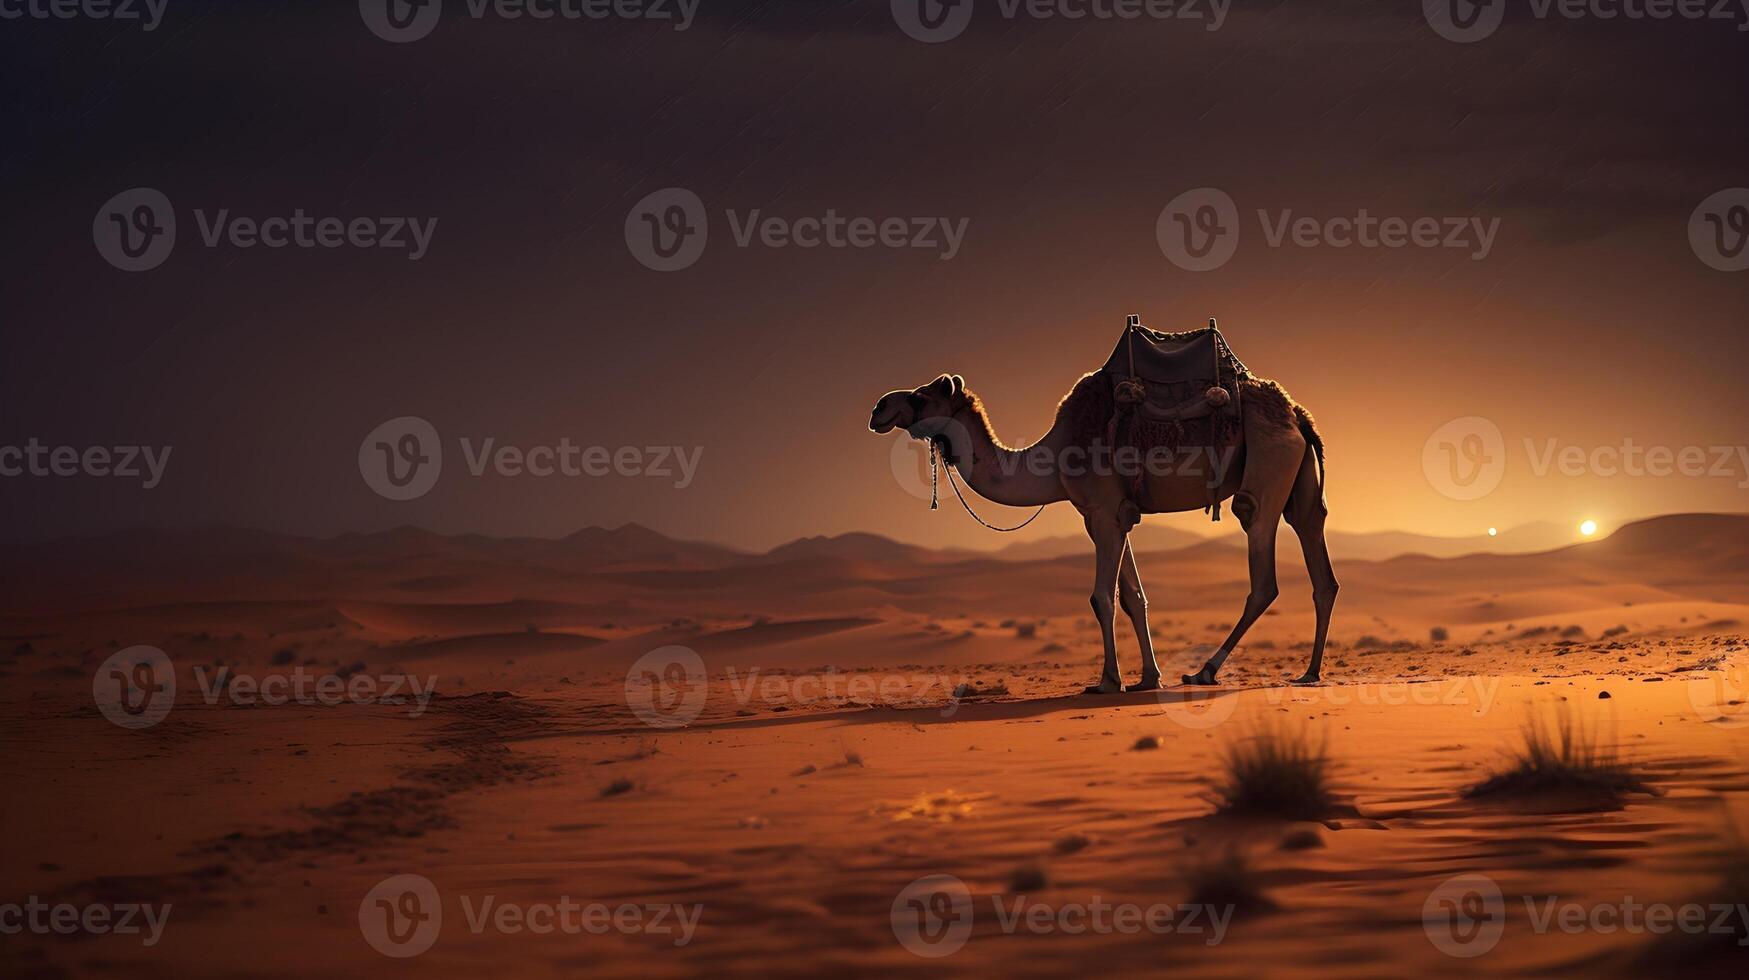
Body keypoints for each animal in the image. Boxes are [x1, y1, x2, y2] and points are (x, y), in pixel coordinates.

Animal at [864, 364, 1336, 693]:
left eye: (921, 397)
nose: (878, 409)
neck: (1053, 457)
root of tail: (1297, 415)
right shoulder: (1112, 515)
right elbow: (1133, 597)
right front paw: (1148, 678)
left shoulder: (1103, 513)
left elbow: (1100, 598)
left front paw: (1109, 681)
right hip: (1296, 480)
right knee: (1318, 557)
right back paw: (1309, 672)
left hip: (1267, 469)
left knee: (1262, 572)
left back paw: (1204, 671)